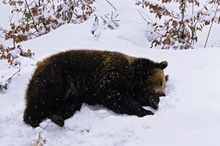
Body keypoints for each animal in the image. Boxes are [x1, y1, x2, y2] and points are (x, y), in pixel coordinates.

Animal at [23, 49, 168, 127]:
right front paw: (146, 111)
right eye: (160, 82)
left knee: (68, 105)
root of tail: (38, 67)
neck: (134, 75)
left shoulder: (131, 87)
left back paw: (57, 117)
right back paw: (32, 119)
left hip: (73, 94)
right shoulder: (111, 77)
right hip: (57, 77)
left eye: (163, 84)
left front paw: (153, 102)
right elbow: (116, 97)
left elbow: (138, 96)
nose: (163, 94)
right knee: (43, 98)